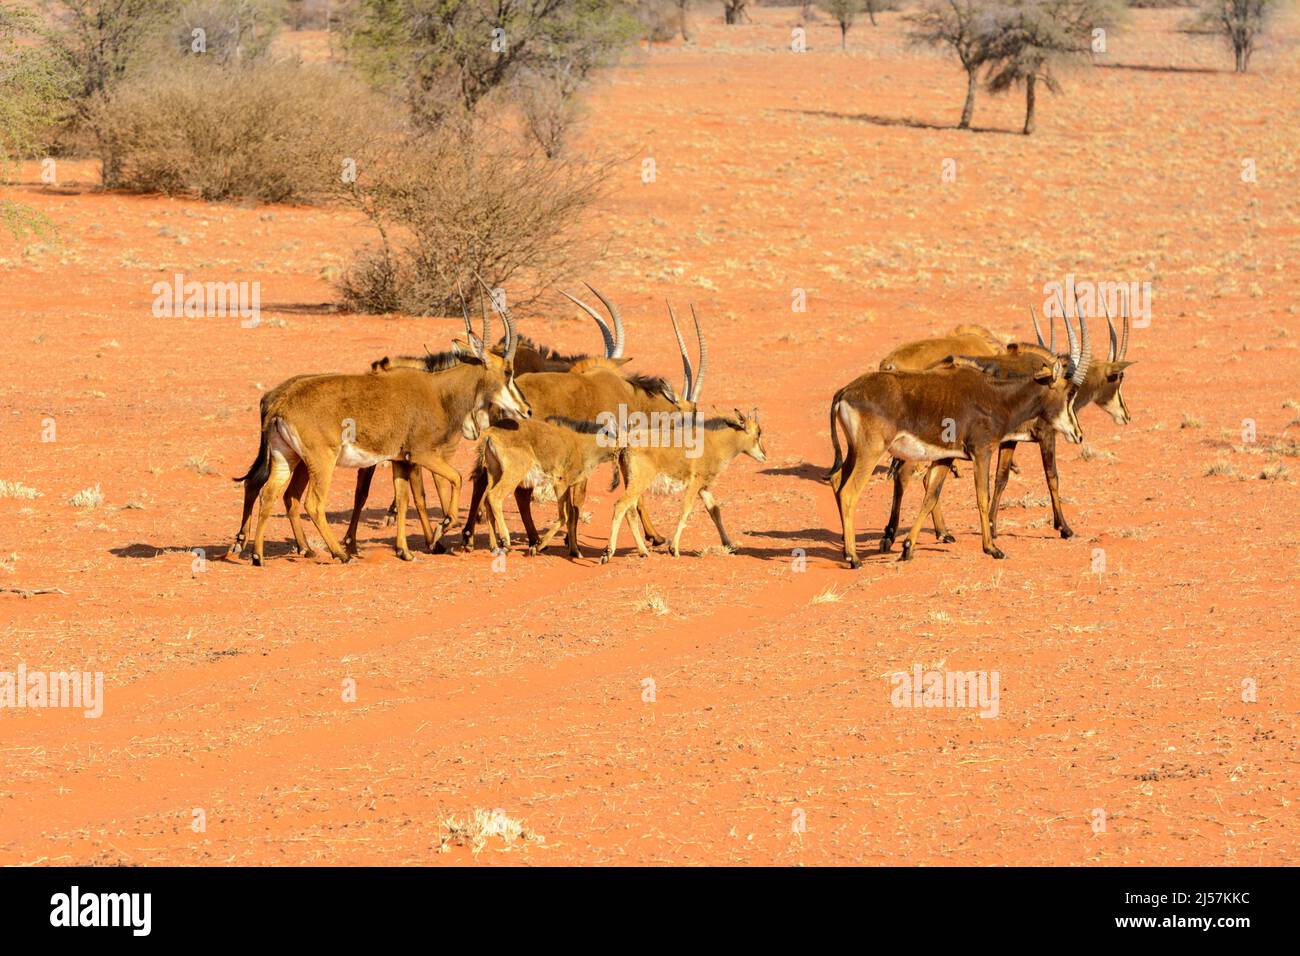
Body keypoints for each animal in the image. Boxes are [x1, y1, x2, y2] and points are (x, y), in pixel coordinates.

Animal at [244, 306, 527, 564]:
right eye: (508, 372)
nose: (526, 410)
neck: (438, 392)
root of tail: (280, 403)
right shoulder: (422, 454)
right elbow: (454, 479)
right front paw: (441, 528)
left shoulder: (400, 460)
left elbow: (403, 500)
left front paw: (404, 551)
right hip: (321, 461)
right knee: (312, 503)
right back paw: (340, 554)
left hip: (286, 457)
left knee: (268, 493)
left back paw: (258, 555)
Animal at [478, 416, 618, 556]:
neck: (582, 445)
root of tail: (490, 433)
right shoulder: (560, 483)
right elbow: (565, 515)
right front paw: (538, 546)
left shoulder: (567, 487)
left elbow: (571, 514)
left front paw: (574, 550)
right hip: (513, 473)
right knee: (494, 497)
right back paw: (505, 540)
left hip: (495, 473)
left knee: (486, 501)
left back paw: (494, 547)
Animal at [832, 314, 1086, 567]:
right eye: (1069, 393)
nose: (1078, 434)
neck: (998, 396)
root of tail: (845, 392)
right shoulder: (983, 451)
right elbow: (983, 496)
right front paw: (992, 548)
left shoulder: (947, 456)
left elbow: (931, 495)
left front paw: (908, 547)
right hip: (871, 452)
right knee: (850, 492)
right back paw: (854, 557)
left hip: (855, 451)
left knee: (837, 480)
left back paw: (851, 546)